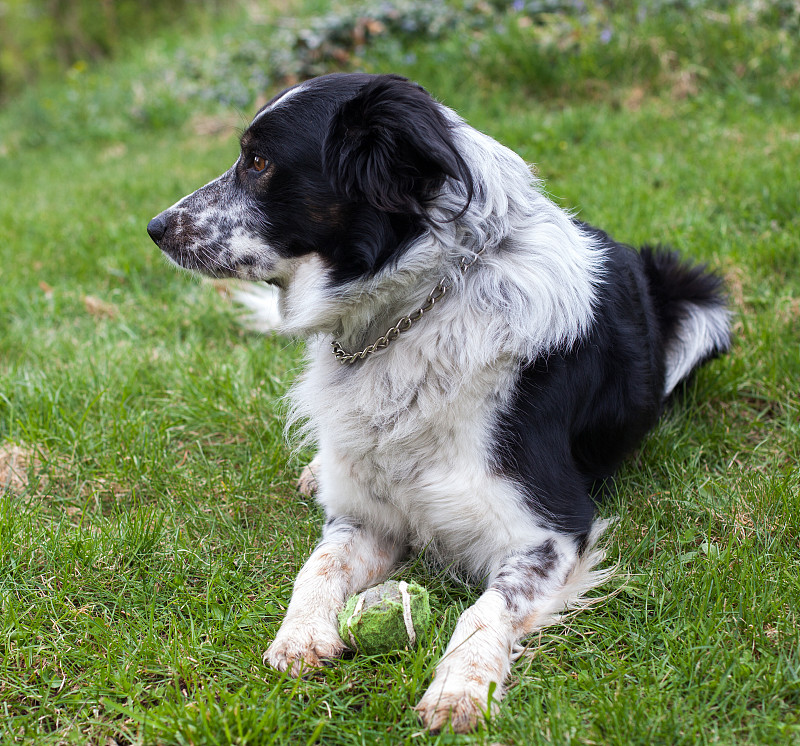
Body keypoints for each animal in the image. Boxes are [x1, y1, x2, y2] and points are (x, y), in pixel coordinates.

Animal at [148, 72, 732, 728]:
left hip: (702, 306)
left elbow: (486, 609)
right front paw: (299, 637)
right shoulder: (366, 514)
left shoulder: (551, 528)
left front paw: (460, 689)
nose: (155, 227)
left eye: (258, 162)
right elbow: (317, 567)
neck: (415, 310)